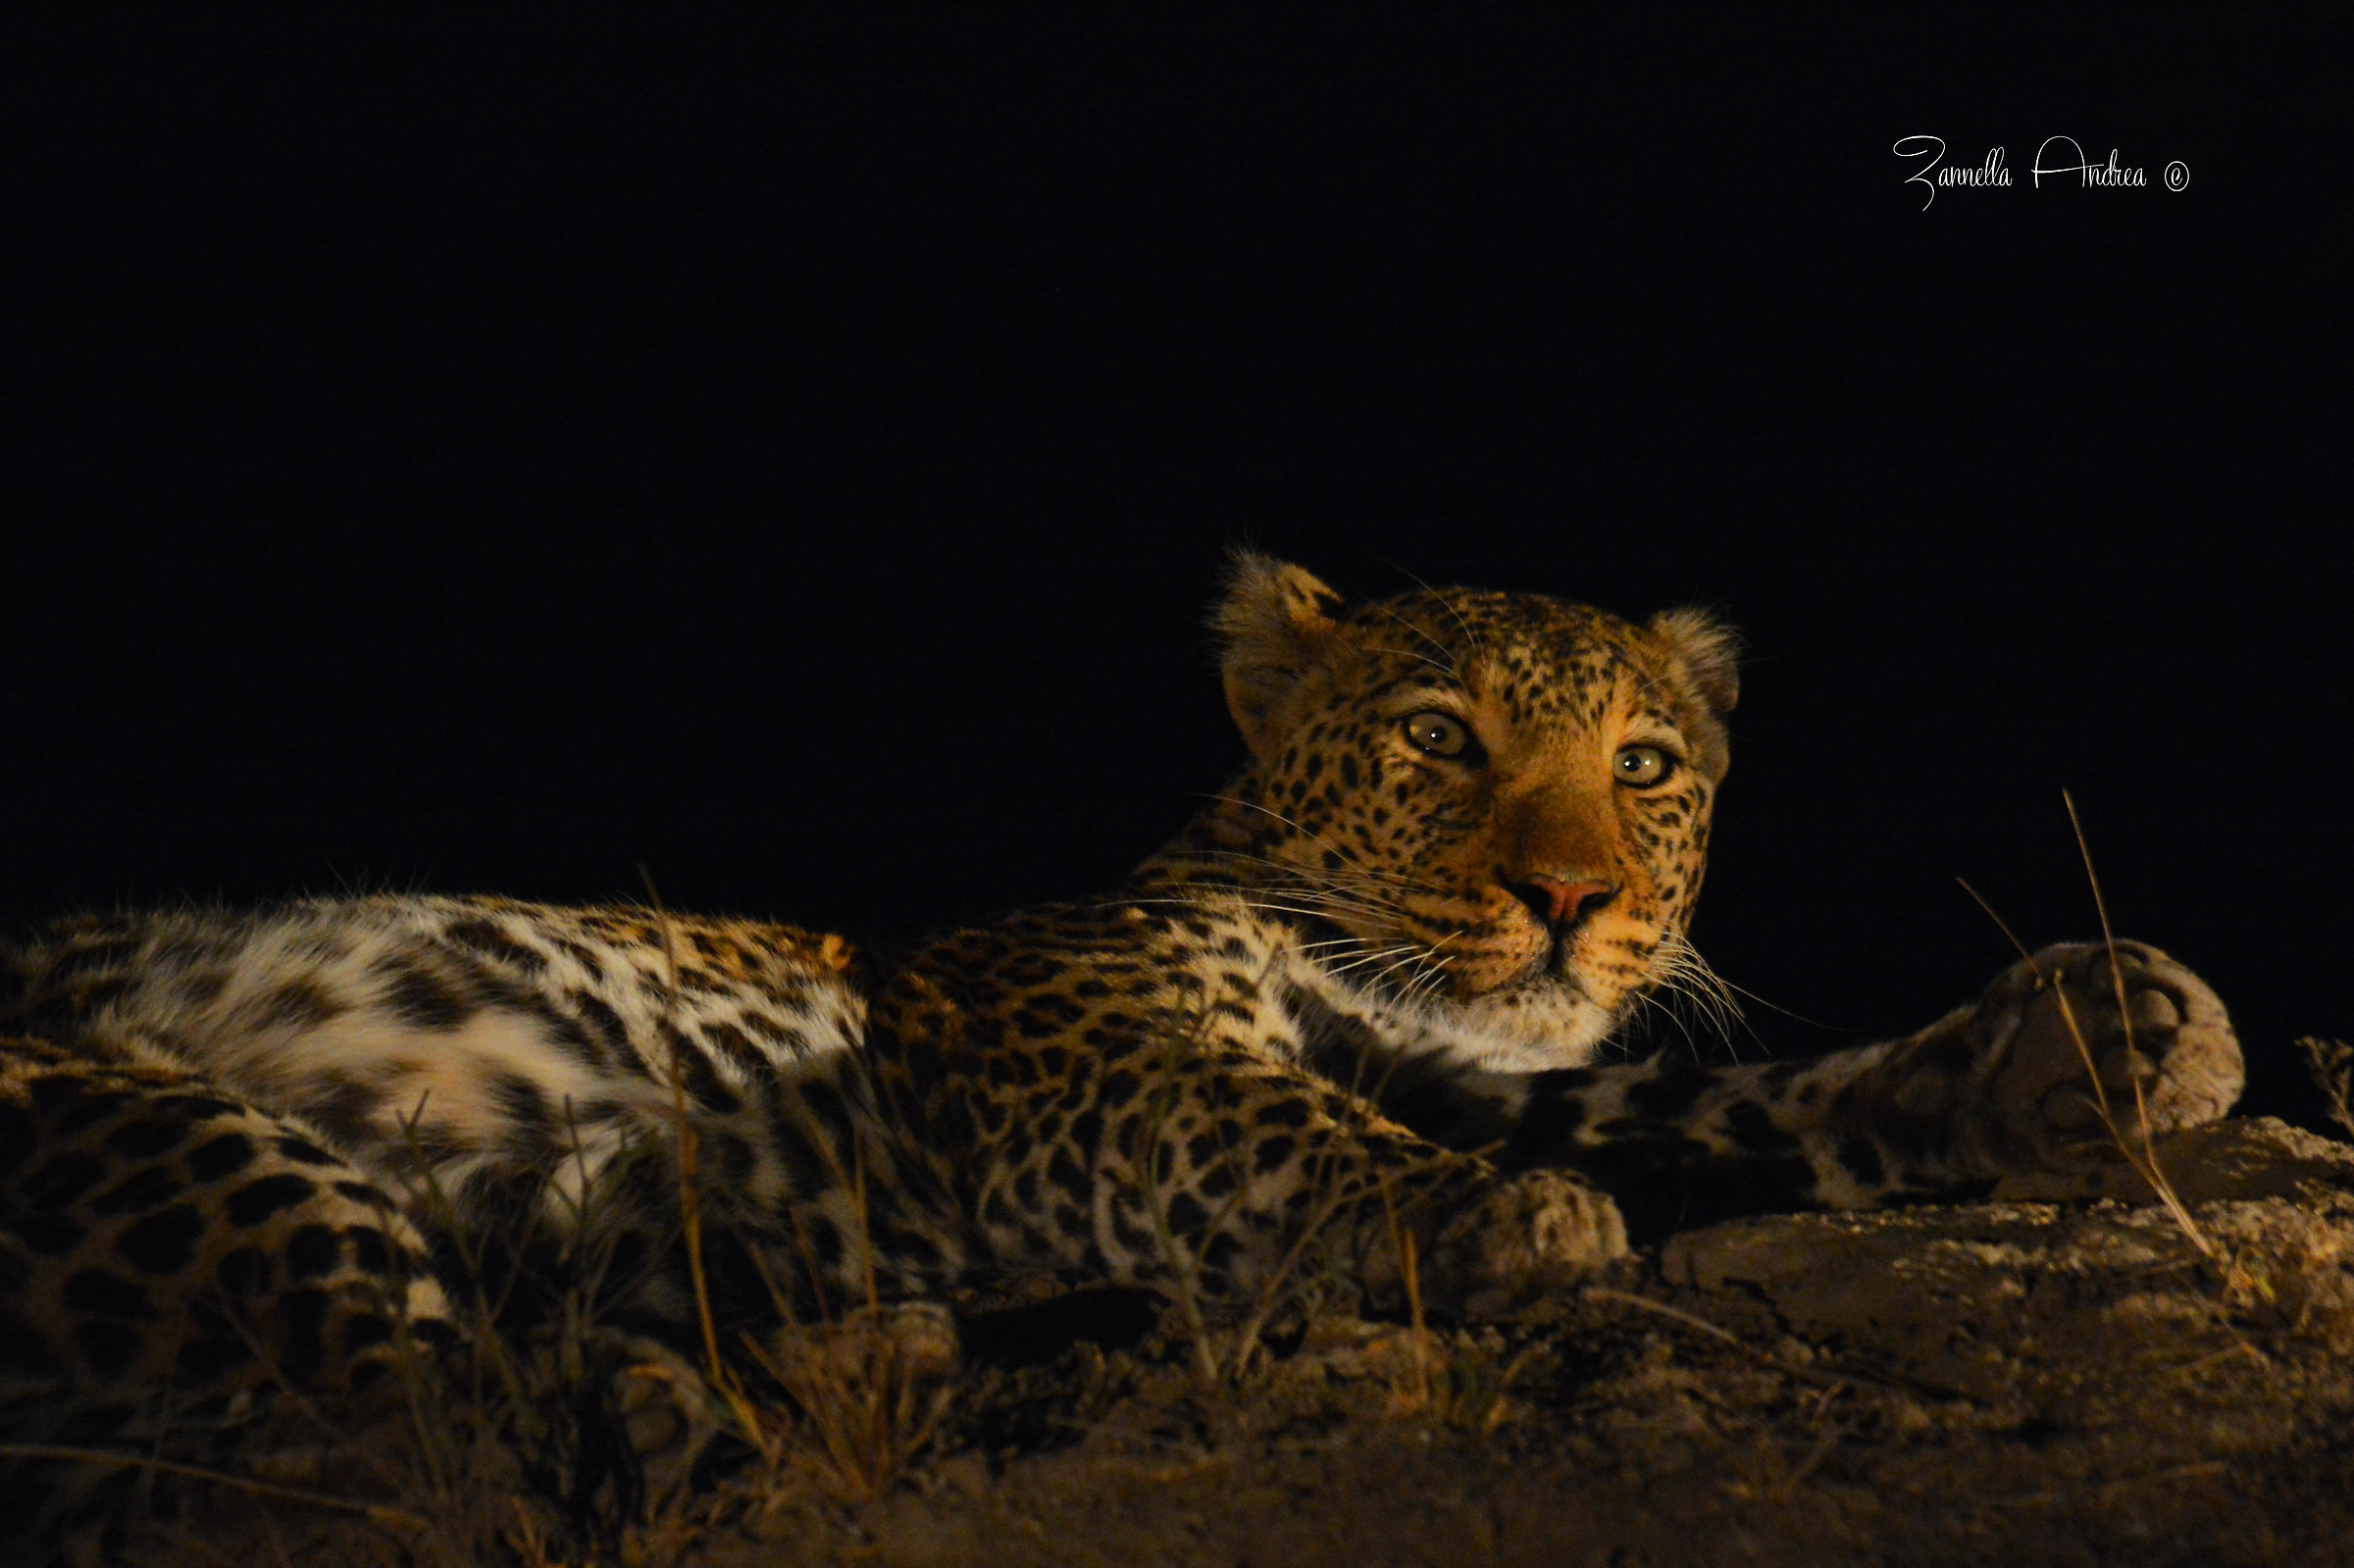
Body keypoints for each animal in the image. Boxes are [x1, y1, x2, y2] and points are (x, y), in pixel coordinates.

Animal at [0, 552, 2243, 1547]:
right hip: (222, 1166)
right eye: (1438, 735)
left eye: (1647, 765)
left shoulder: (1514, 1059)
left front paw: (2100, 1046)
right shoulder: (1067, 1053)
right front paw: (1508, 1224)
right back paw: (791, 1385)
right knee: (418, 1440)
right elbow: (1277, 1130)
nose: (1568, 899)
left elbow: (1730, 1102)